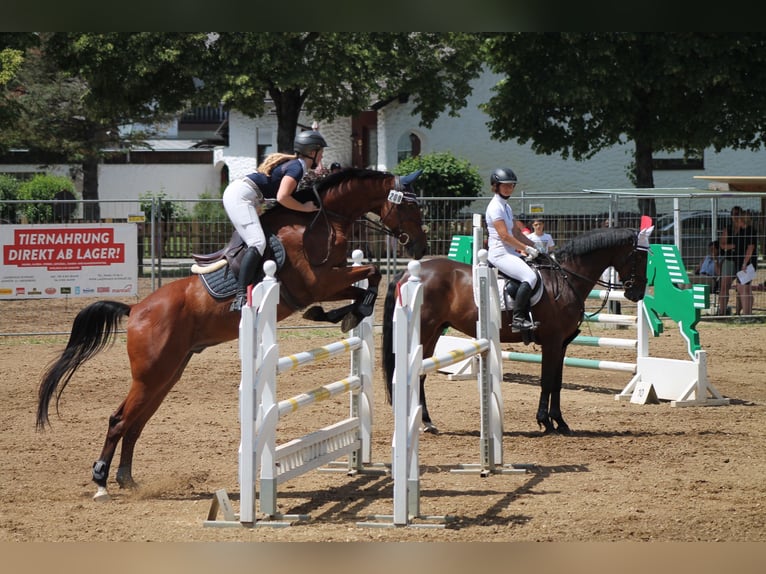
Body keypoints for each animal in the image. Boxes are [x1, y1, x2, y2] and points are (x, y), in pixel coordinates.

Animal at [36, 168, 427, 501]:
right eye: (411, 206)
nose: (420, 248)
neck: (322, 220)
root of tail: (136, 310)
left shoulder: (331, 278)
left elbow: (368, 279)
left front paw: (345, 314)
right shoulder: (317, 282)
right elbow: (371, 273)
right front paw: (344, 313)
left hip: (167, 374)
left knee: (134, 423)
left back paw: (127, 479)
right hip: (151, 375)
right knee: (120, 421)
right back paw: (101, 481)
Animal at [382, 225, 652, 435]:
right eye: (640, 258)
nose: (637, 293)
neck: (566, 279)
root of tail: (407, 272)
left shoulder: (562, 344)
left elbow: (557, 382)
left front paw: (560, 422)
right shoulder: (552, 342)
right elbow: (546, 381)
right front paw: (546, 422)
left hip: (434, 332)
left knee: (420, 373)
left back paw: (427, 422)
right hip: (425, 331)